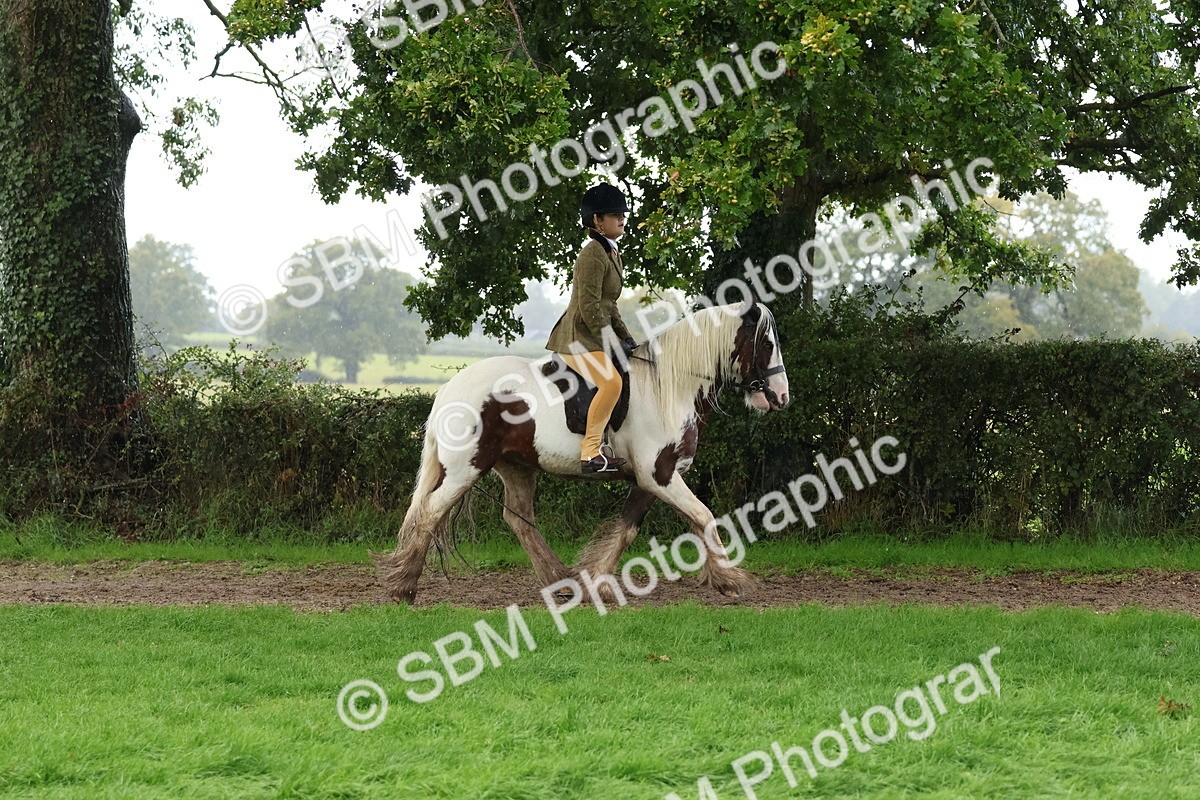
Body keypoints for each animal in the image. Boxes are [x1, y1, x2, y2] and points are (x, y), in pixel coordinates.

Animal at [377, 299, 791, 603]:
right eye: (767, 344)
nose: (781, 397)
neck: (669, 386)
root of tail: (449, 388)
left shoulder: (648, 480)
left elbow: (627, 529)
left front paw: (595, 581)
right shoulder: (660, 475)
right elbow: (703, 517)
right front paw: (730, 579)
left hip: (517, 466)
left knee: (518, 518)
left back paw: (561, 581)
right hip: (466, 467)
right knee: (429, 513)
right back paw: (404, 587)